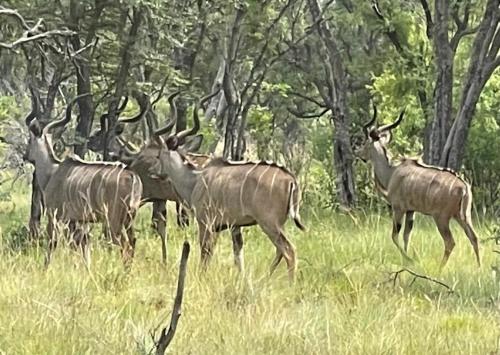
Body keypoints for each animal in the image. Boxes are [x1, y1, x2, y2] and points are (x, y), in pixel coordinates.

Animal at [24, 90, 143, 266]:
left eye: (29, 139)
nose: (25, 156)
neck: (53, 171)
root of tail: (132, 176)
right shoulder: (79, 221)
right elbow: (83, 247)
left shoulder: (55, 215)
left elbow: (52, 244)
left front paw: (45, 268)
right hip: (129, 218)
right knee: (132, 242)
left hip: (114, 220)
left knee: (125, 245)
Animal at [150, 94, 304, 280]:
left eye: (158, 156)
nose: (152, 171)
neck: (195, 180)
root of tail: (291, 179)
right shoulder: (228, 227)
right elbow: (230, 255)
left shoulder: (205, 223)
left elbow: (205, 253)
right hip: (278, 224)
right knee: (280, 251)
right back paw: (266, 278)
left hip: (269, 223)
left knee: (289, 251)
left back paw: (290, 282)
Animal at [356, 104, 480, 268]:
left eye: (365, 142)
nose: (359, 154)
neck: (392, 172)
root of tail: (464, 188)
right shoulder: (411, 211)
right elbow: (406, 235)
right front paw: (406, 260)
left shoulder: (399, 208)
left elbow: (394, 236)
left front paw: (409, 260)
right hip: (463, 216)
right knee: (474, 237)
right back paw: (479, 267)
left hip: (441, 218)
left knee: (450, 242)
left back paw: (440, 268)